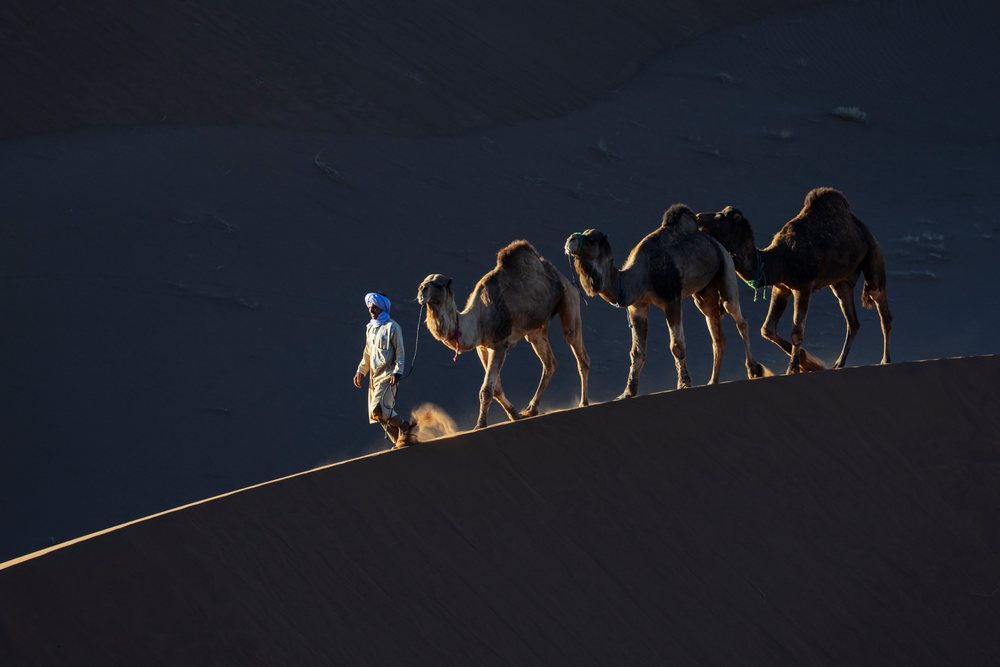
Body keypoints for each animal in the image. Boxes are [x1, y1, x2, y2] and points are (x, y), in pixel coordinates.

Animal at [417, 240, 590, 429]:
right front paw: (515, 414)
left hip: (568, 299)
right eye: (423, 283)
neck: (478, 319)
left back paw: (583, 402)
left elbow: (487, 389)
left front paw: (480, 424)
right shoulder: (482, 347)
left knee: (577, 349)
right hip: (535, 330)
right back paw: (531, 409)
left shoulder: (499, 345)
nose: (421, 290)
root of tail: (567, 279)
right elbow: (496, 387)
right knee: (550, 363)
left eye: (438, 285)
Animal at [564, 204, 765, 399]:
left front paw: (684, 383)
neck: (638, 276)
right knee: (716, 330)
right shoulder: (638, 307)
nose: (570, 240)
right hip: (704, 292)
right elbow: (636, 352)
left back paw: (754, 369)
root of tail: (716, 242)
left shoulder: (671, 300)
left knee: (739, 318)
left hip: (725, 268)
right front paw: (627, 392)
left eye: (591, 240)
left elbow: (676, 346)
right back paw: (713, 381)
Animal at [695, 187, 892, 374]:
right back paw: (839, 364)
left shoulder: (803, 287)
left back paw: (885, 360)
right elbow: (767, 328)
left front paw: (795, 367)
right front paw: (808, 362)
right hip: (841, 282)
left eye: (719, 217)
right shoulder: (781, 287)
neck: (780, 259)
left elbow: (797, 331)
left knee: (881, 305)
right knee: (852, 321)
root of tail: (861, 226)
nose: (698, 216)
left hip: (873, 255)